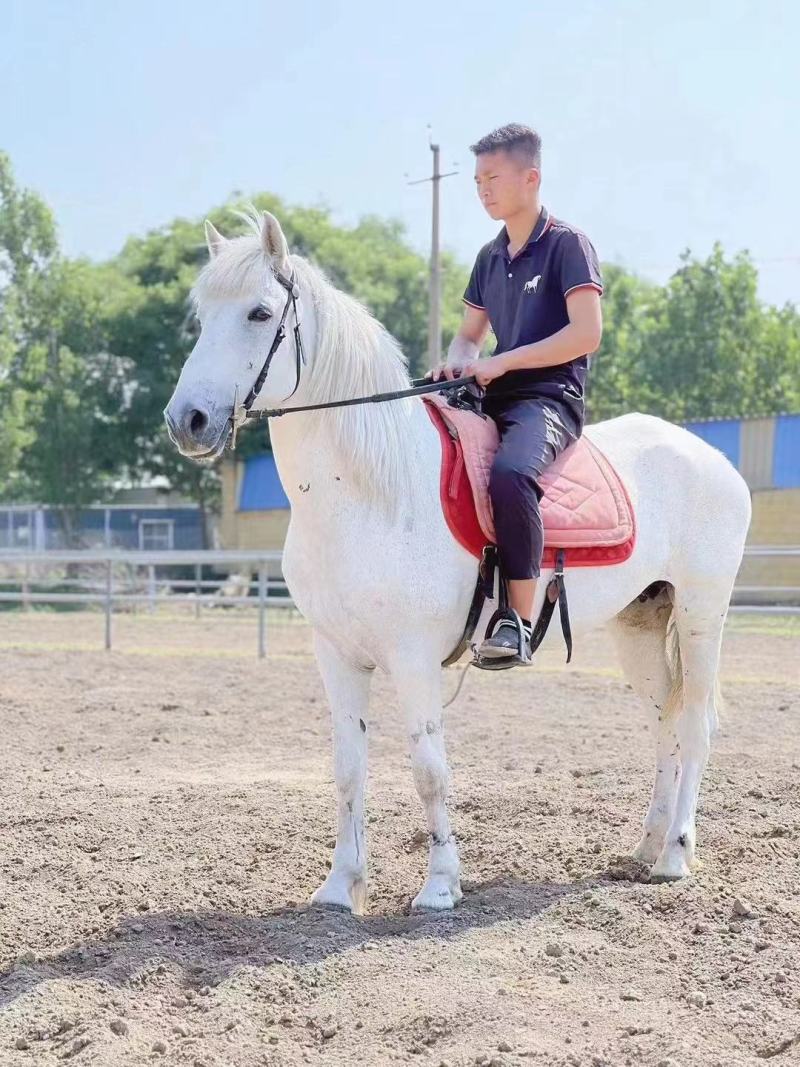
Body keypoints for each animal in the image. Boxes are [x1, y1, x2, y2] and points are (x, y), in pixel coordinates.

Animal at [164, 209, 751, 913]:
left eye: (257, 312)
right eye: (200, 315)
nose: (188, 420)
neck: (369, 491)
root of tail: (710, 458)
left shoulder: (413, 658)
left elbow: (428, 770)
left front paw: (440, 884)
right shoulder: (335, 653)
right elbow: (347, 768)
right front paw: (340, 887)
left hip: (701, 614)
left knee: (695, 723)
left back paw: (675, 856)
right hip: (640, 621)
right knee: (664, 718)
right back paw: (646, 845)